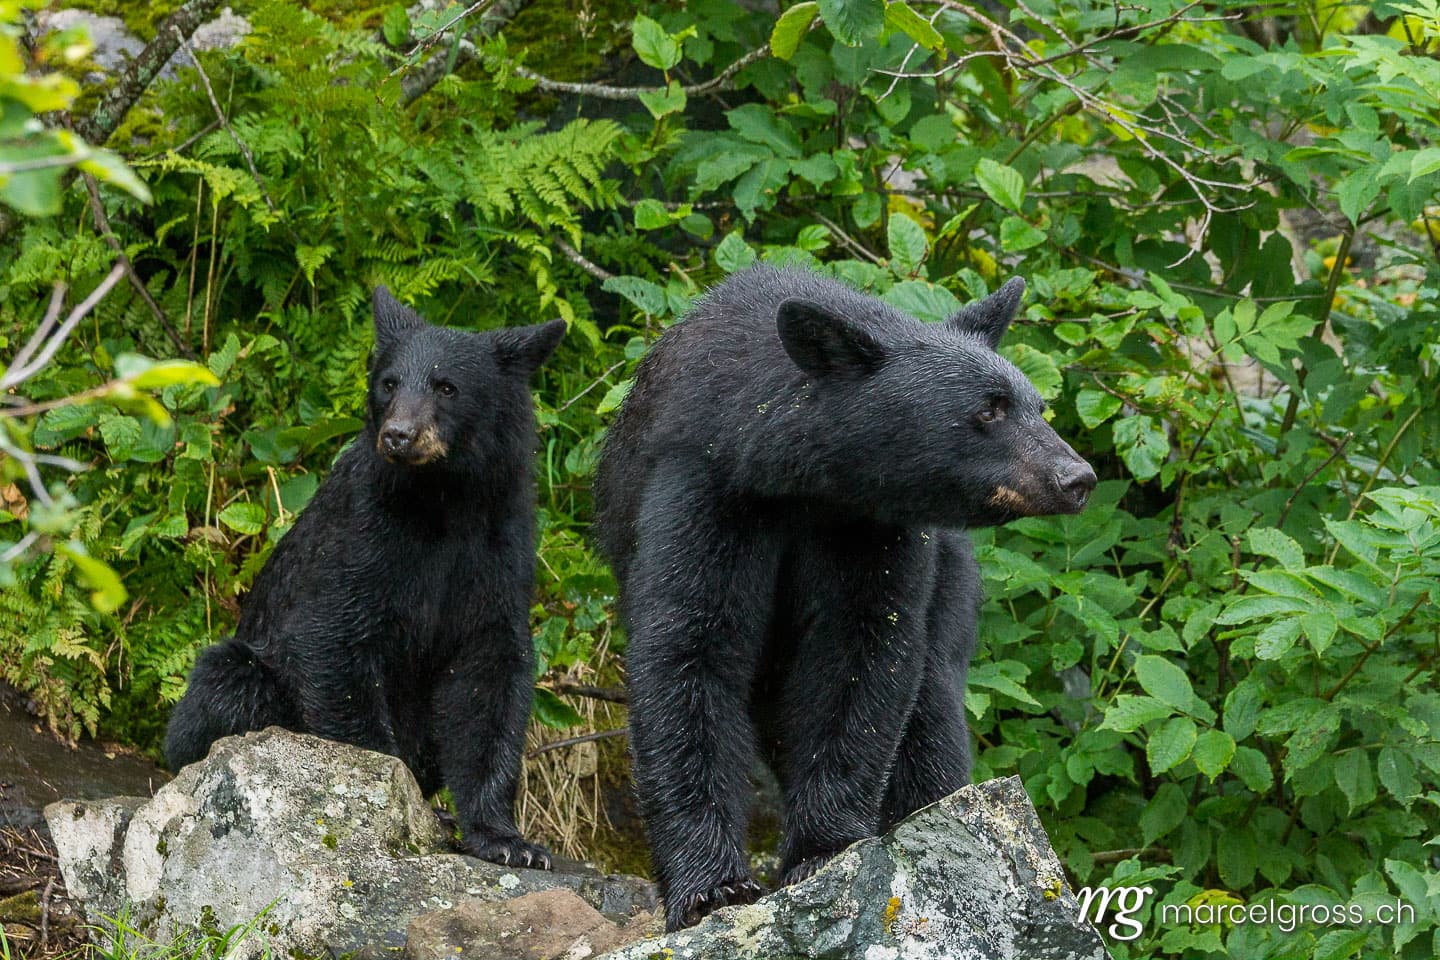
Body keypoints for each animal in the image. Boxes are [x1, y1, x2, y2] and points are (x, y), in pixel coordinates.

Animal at [164, 287, 565, 869]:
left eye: (447, 386)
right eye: (389, 382)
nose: (399, 435)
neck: (441, 503)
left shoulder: (500, 549)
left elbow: (489, 676)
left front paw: (507, 838)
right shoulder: (363, 537)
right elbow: (332, 638)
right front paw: (393, 796)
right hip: (232, 680)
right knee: (228, 687)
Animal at [593, 265, 1096, 929]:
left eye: (1037, 405)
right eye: (990, 408)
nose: (1077, 478)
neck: (798, 477)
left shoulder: (873, 527)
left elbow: (862, 652)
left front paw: (824, 848)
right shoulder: (703, 486)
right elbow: (688, 646)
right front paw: (711, 887)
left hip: (955, 586)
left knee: (930, 705)